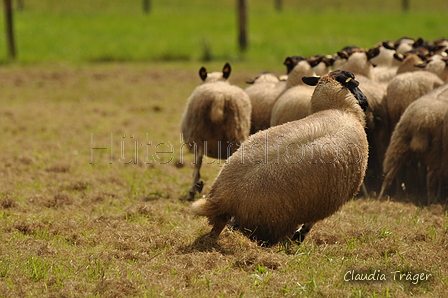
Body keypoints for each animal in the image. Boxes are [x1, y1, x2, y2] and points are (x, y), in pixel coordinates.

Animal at [181, 63, 252, 201]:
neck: (216, 81)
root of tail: (219, 98)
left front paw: (197, 186)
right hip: (236, 132)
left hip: (198, 134)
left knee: (197, 164)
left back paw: (192, 191)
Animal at [191, 70, 370, 247]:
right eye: (356, 83)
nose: (366, 102)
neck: (339, 108)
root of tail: (225, 195)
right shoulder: (325, 199)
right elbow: (309, 223)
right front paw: (299, 238)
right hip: (270, 221)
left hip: (232, 213)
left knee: (220, 226)